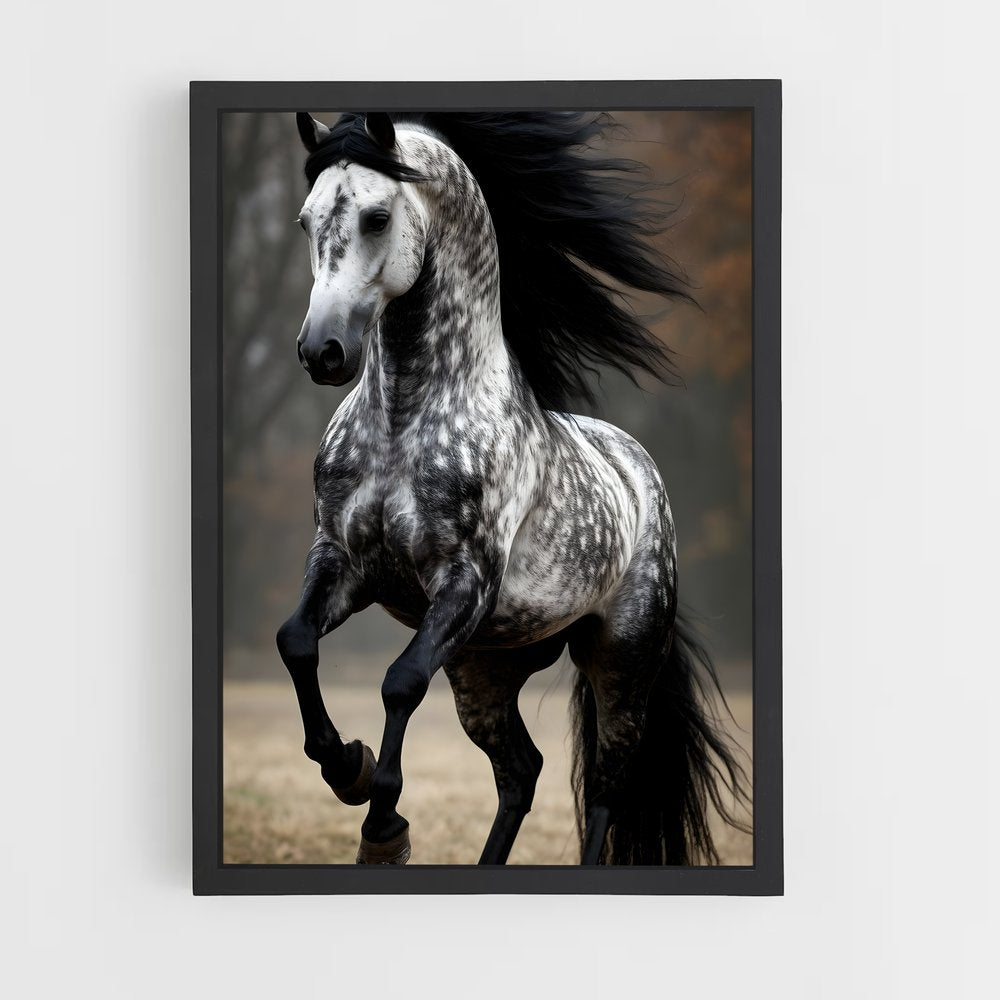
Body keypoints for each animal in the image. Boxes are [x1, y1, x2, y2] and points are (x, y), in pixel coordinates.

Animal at [275, 110, 750, 865]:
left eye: (378, 216)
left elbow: (400, 683)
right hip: (484, 669)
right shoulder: (342, 561)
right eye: (305, 219)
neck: (407, 421)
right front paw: (347, 768)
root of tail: (640, 472)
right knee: (521, 772)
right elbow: (295, 641)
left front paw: (382, 827)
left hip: (620, 664)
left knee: (608, 786)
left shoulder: (464, 581)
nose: (322, 352)